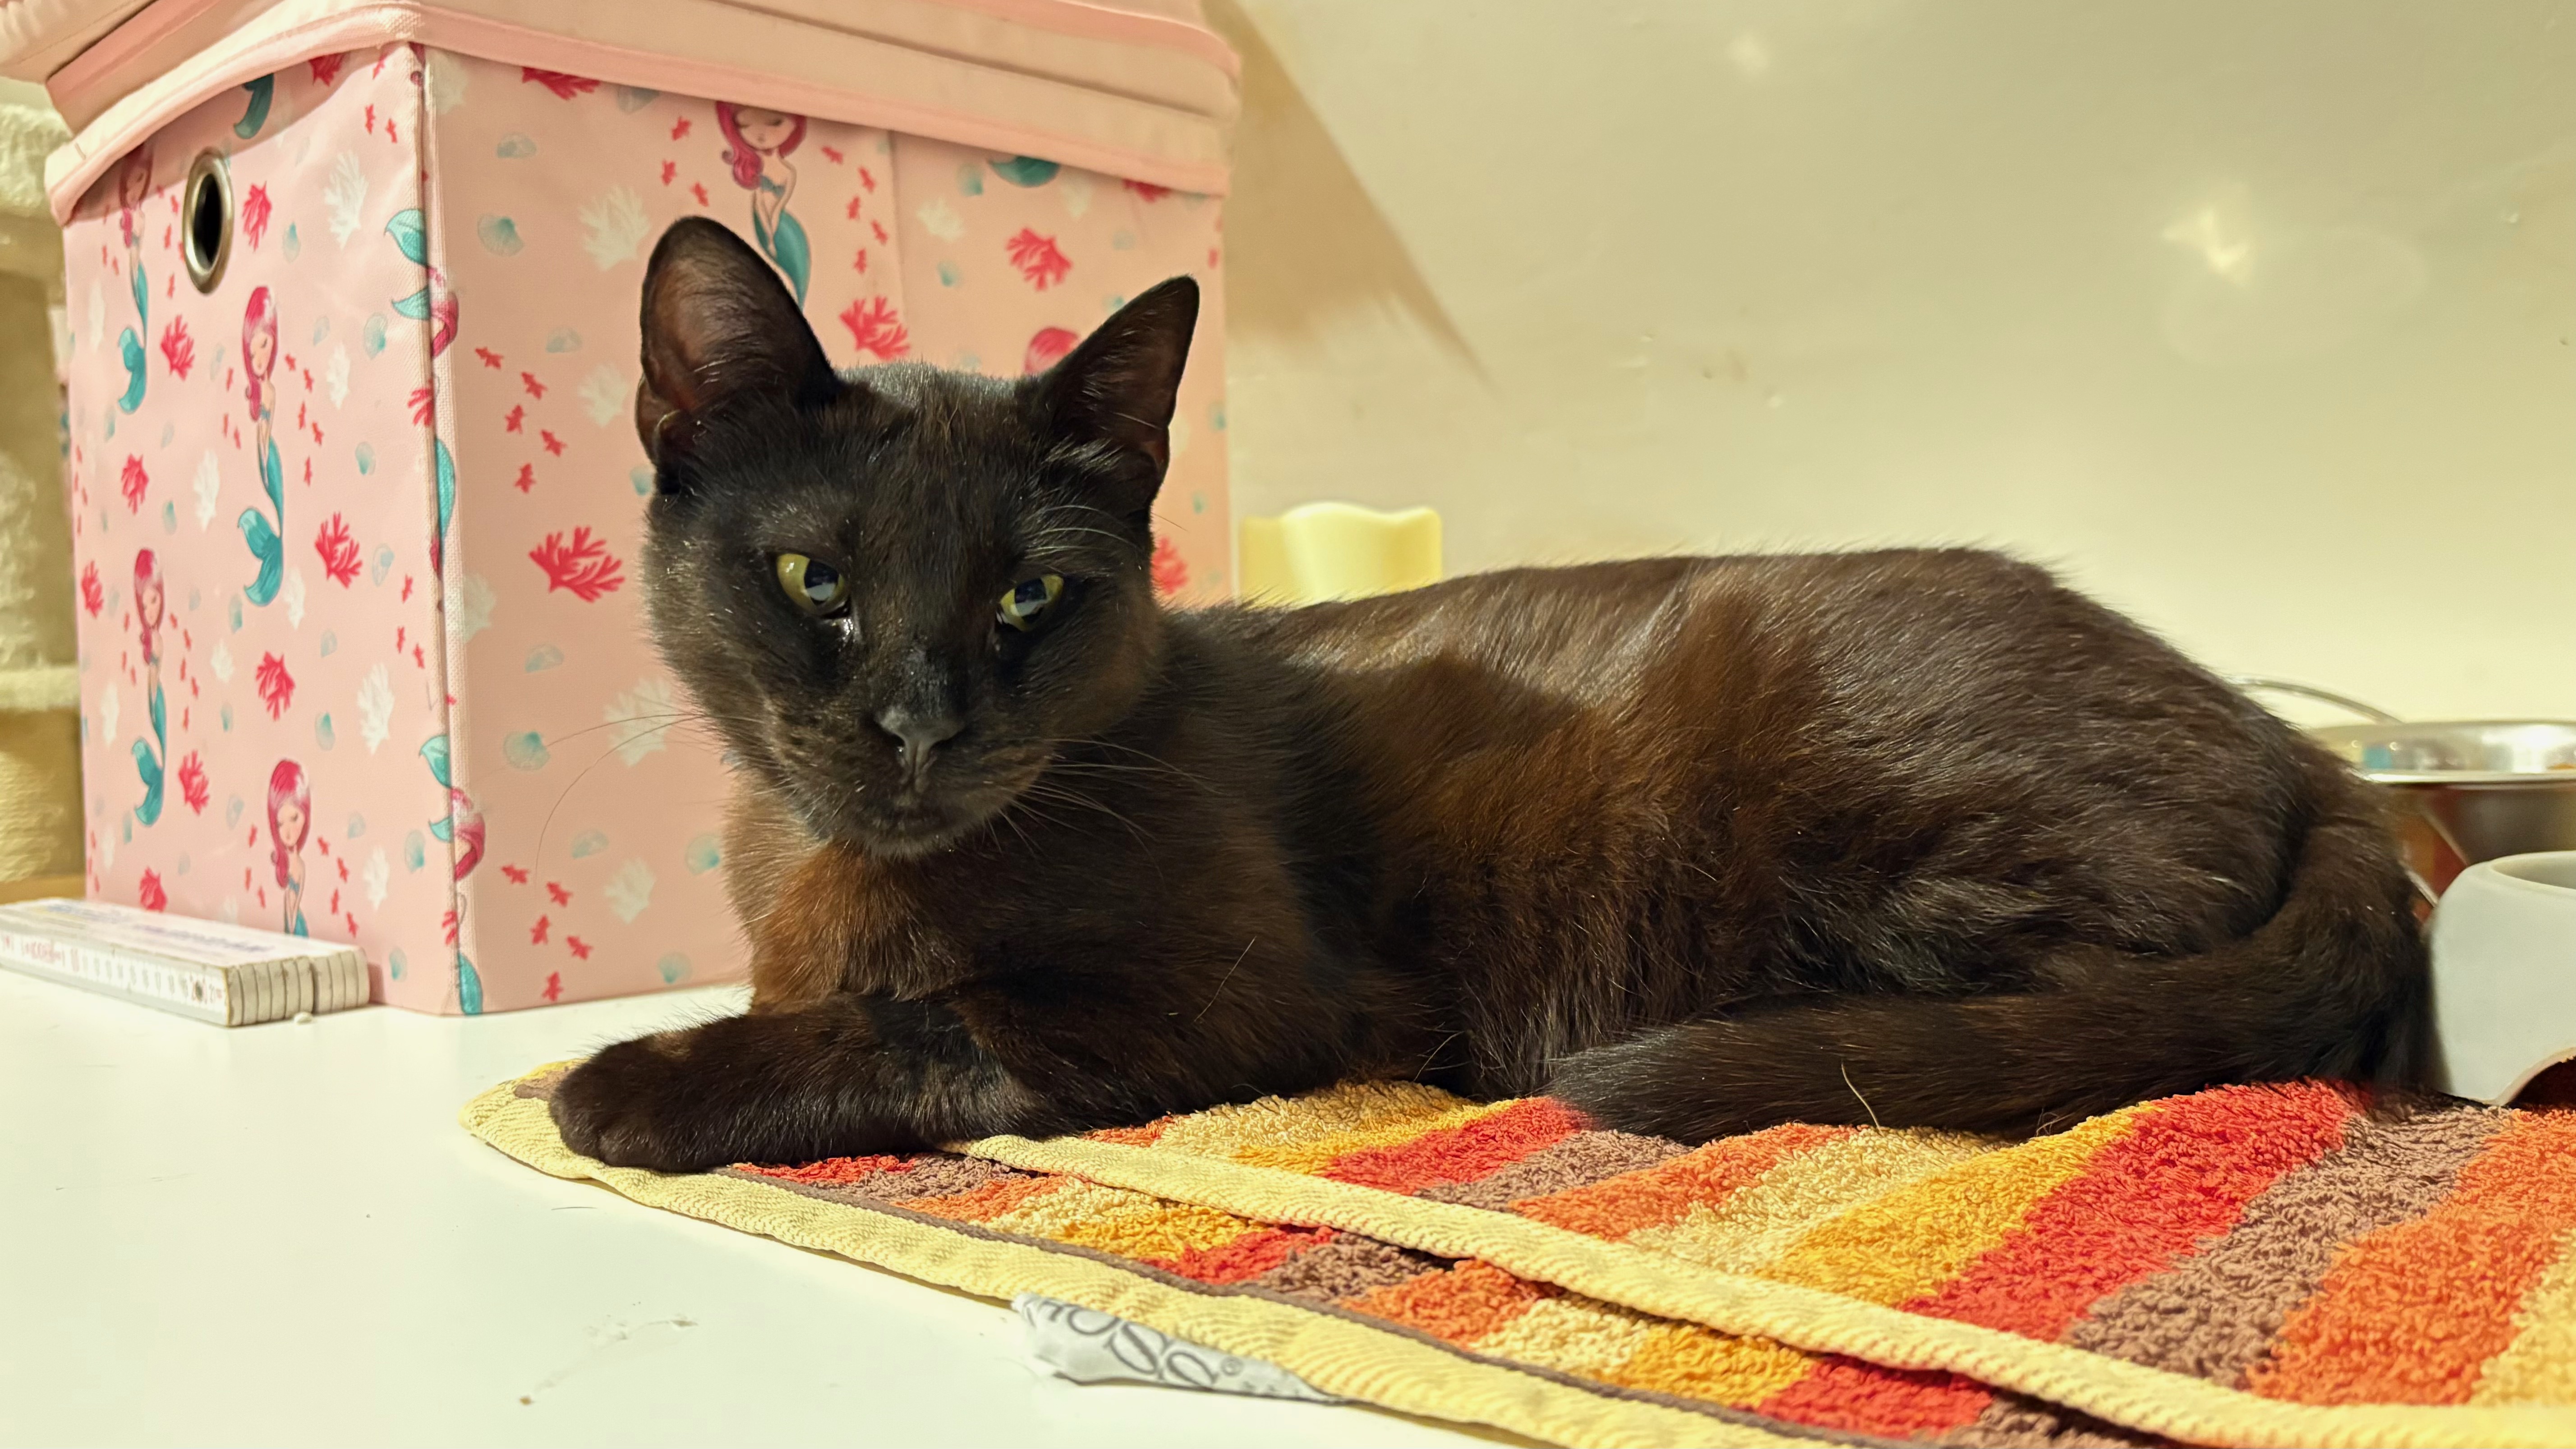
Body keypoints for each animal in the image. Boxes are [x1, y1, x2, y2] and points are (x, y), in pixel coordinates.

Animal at [548, 218, 2428, 1171]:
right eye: (818, 582)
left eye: (1028, 595)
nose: (922, 724)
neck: (842, 875)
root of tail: (2291, 738)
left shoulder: (1237, 995)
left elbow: (930, 1019)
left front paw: (626, 1082)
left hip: (1898, 846)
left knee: (2105, 1022)